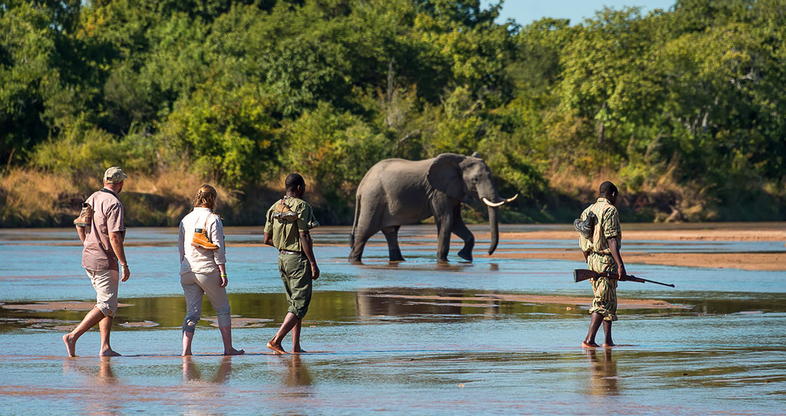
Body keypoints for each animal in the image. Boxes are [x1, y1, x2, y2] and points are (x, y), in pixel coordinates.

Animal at [348, 153, 516, 264]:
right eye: (475, 180)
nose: (488, 253)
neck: (460, 160)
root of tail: (361, 185)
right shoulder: (438, 191)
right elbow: (446, 220)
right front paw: (443, 260)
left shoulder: (453, 190)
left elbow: (456, 221)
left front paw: (464, 257)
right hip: (373, 198)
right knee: (365, 231)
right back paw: (353, 261)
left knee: (391, 232)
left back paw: (399, 260)